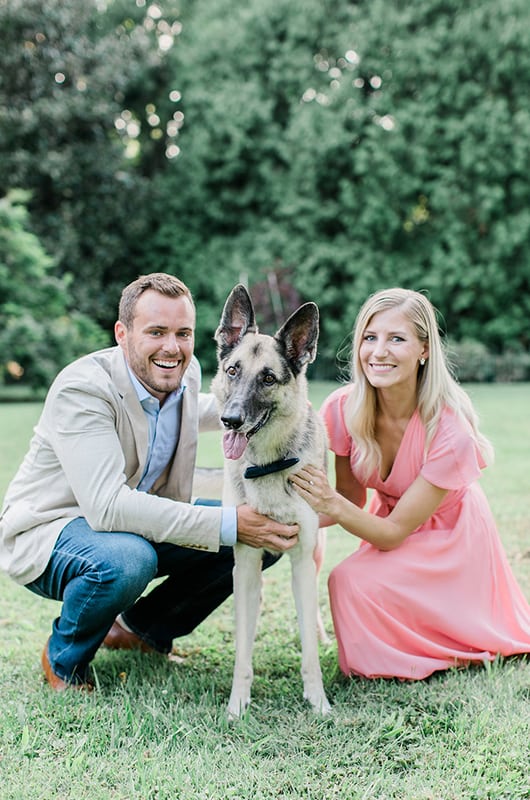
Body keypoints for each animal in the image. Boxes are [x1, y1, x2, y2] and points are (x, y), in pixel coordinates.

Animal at [211, 282, 330, 720]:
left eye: (267, 378)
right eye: (233, 371)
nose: (229, 420)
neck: (266, 466)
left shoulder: (301, 560)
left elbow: (309, 652)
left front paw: (318, 701)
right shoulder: (244, 563)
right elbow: (242, 652)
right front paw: (237, 705)